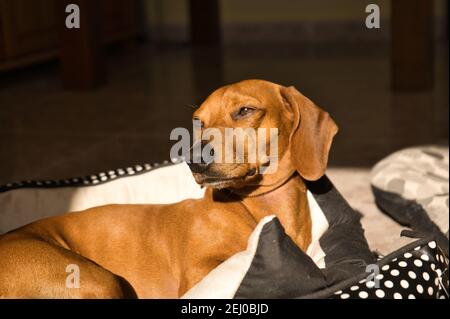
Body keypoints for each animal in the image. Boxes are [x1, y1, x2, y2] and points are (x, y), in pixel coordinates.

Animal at [0, 79, 338, 298]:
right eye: (198, 121)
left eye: (244, 110)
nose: (195, 159)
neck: (255, 207)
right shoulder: (201, 272)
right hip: (99, 281)